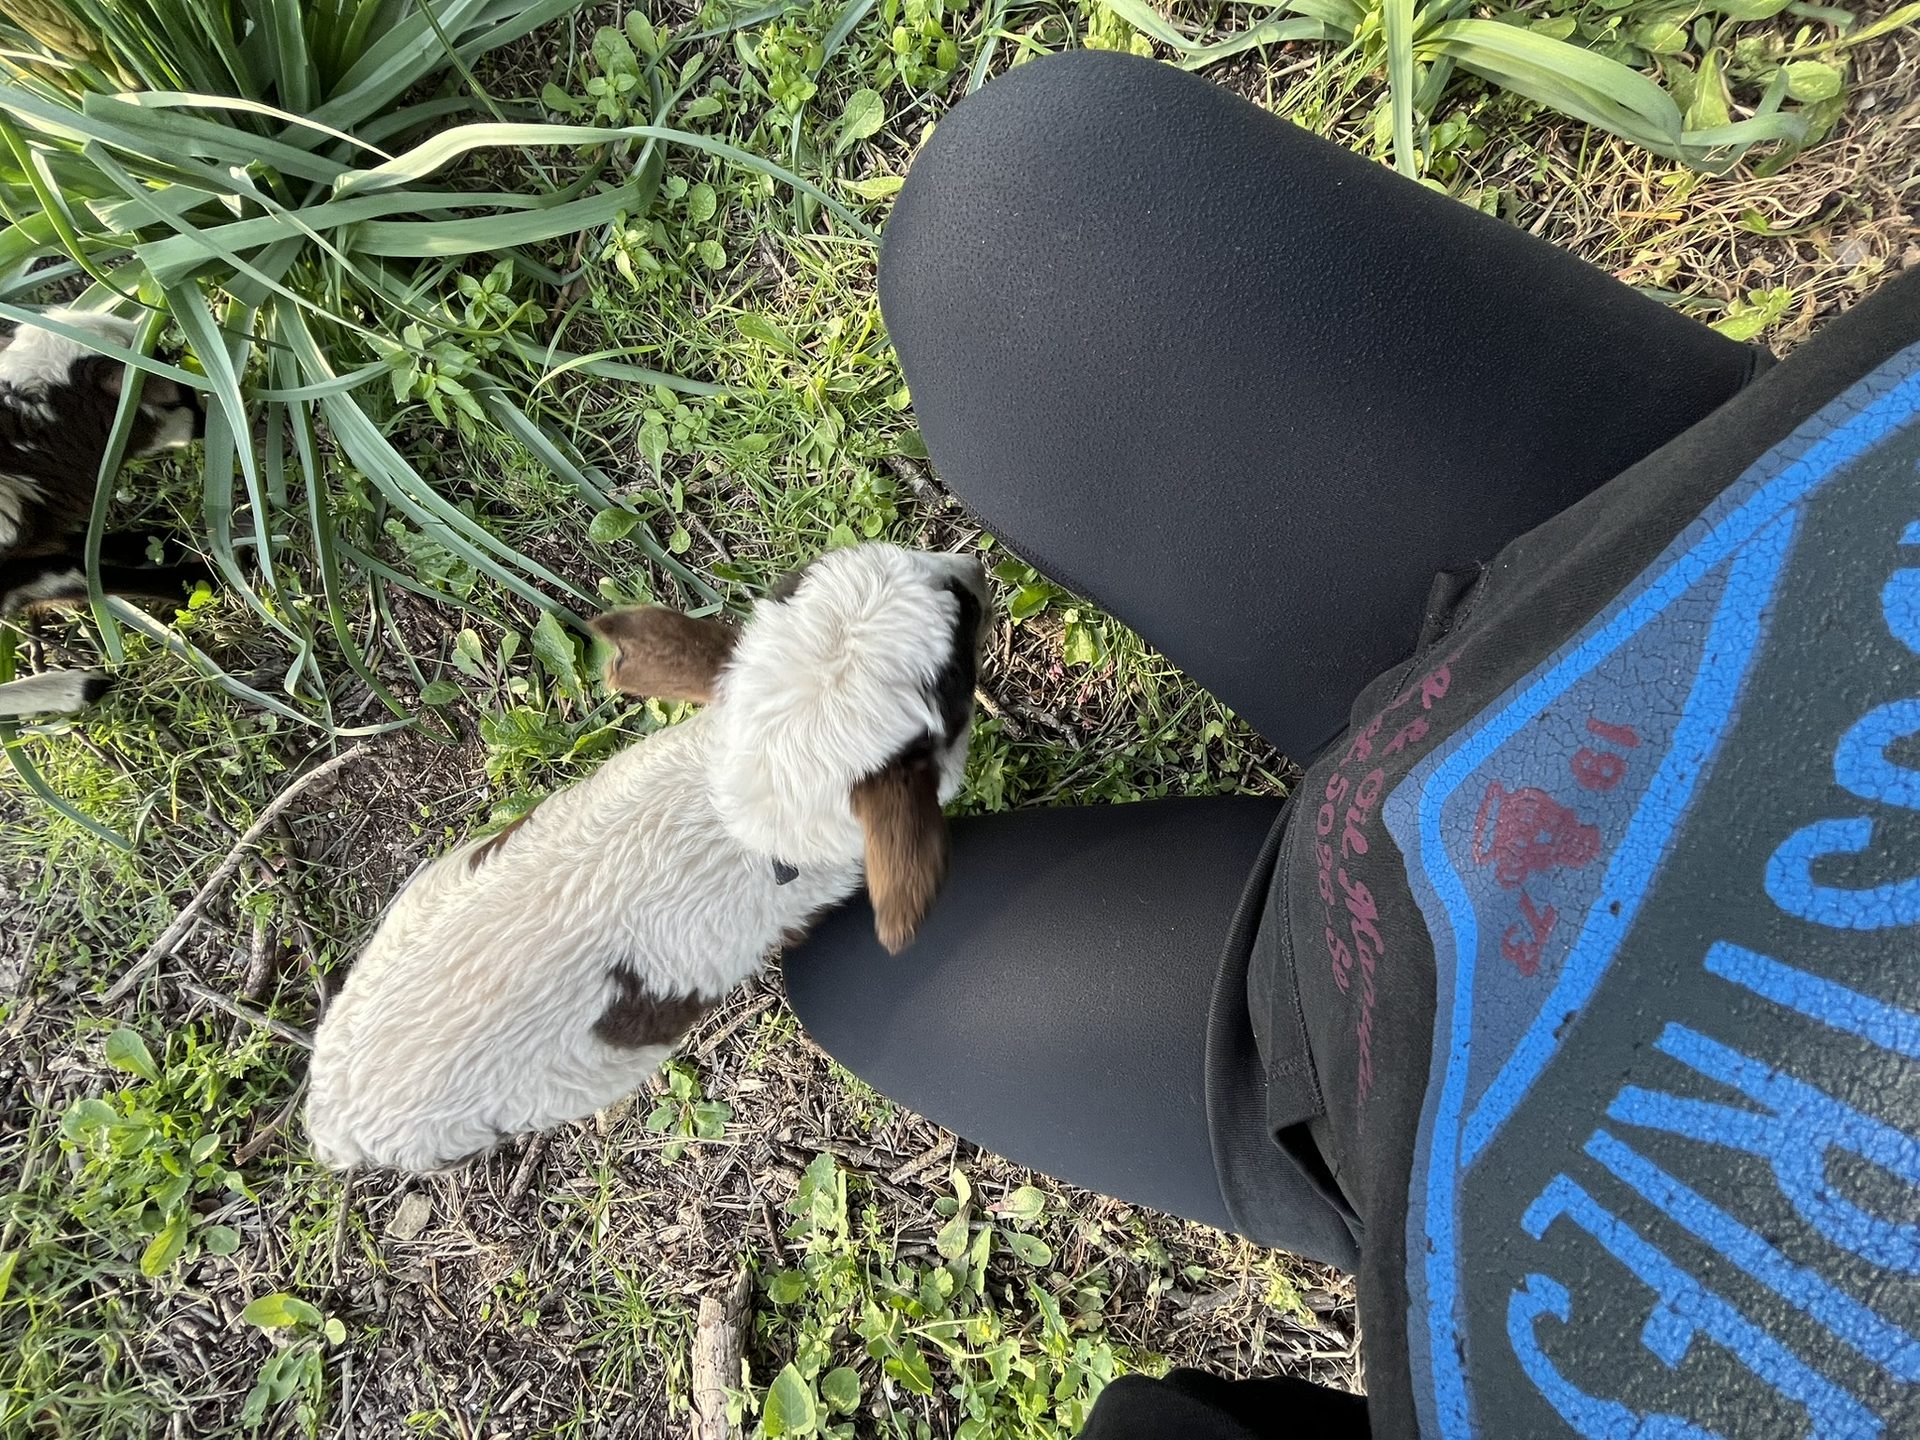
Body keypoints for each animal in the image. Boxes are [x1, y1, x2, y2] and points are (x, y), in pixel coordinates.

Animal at [0, 308, 206, 718]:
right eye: (172, 395)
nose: (207, 420)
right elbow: (74, 575)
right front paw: (202, 578)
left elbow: (73, 555)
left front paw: (157, 543)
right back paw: (79, 687)